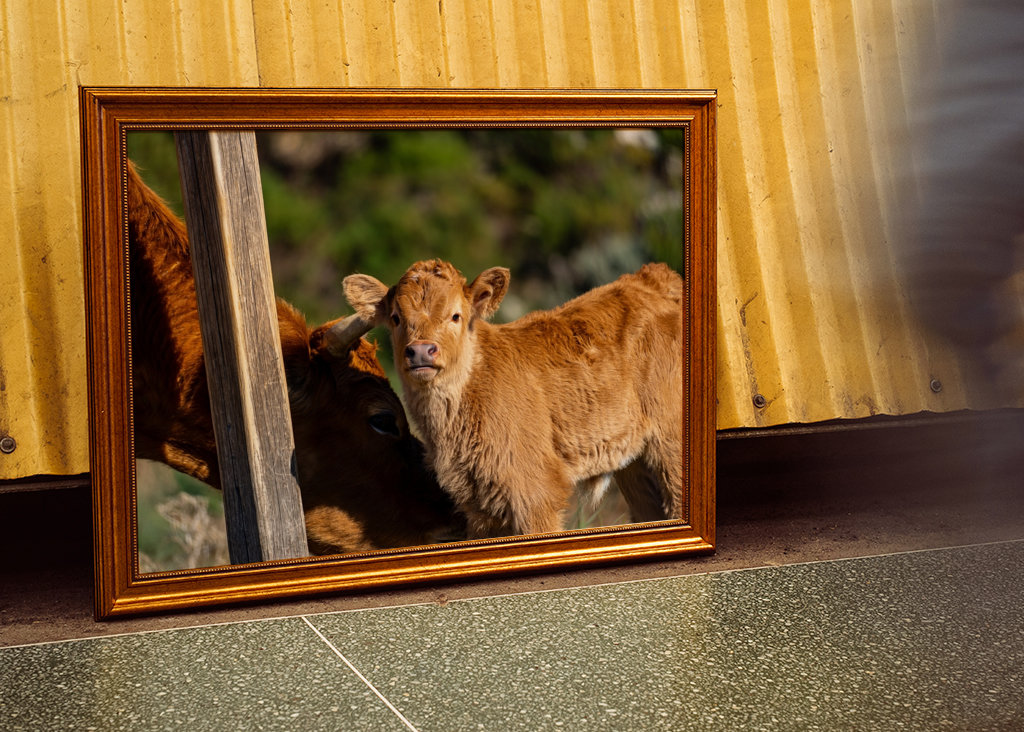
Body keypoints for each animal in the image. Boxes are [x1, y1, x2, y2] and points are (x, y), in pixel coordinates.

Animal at [342, 259, 684, 539]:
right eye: (396, 318)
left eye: (456, 316)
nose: (421, 351)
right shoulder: (480, 507)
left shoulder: (536, 494)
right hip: (636, 465)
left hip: (672, 448)